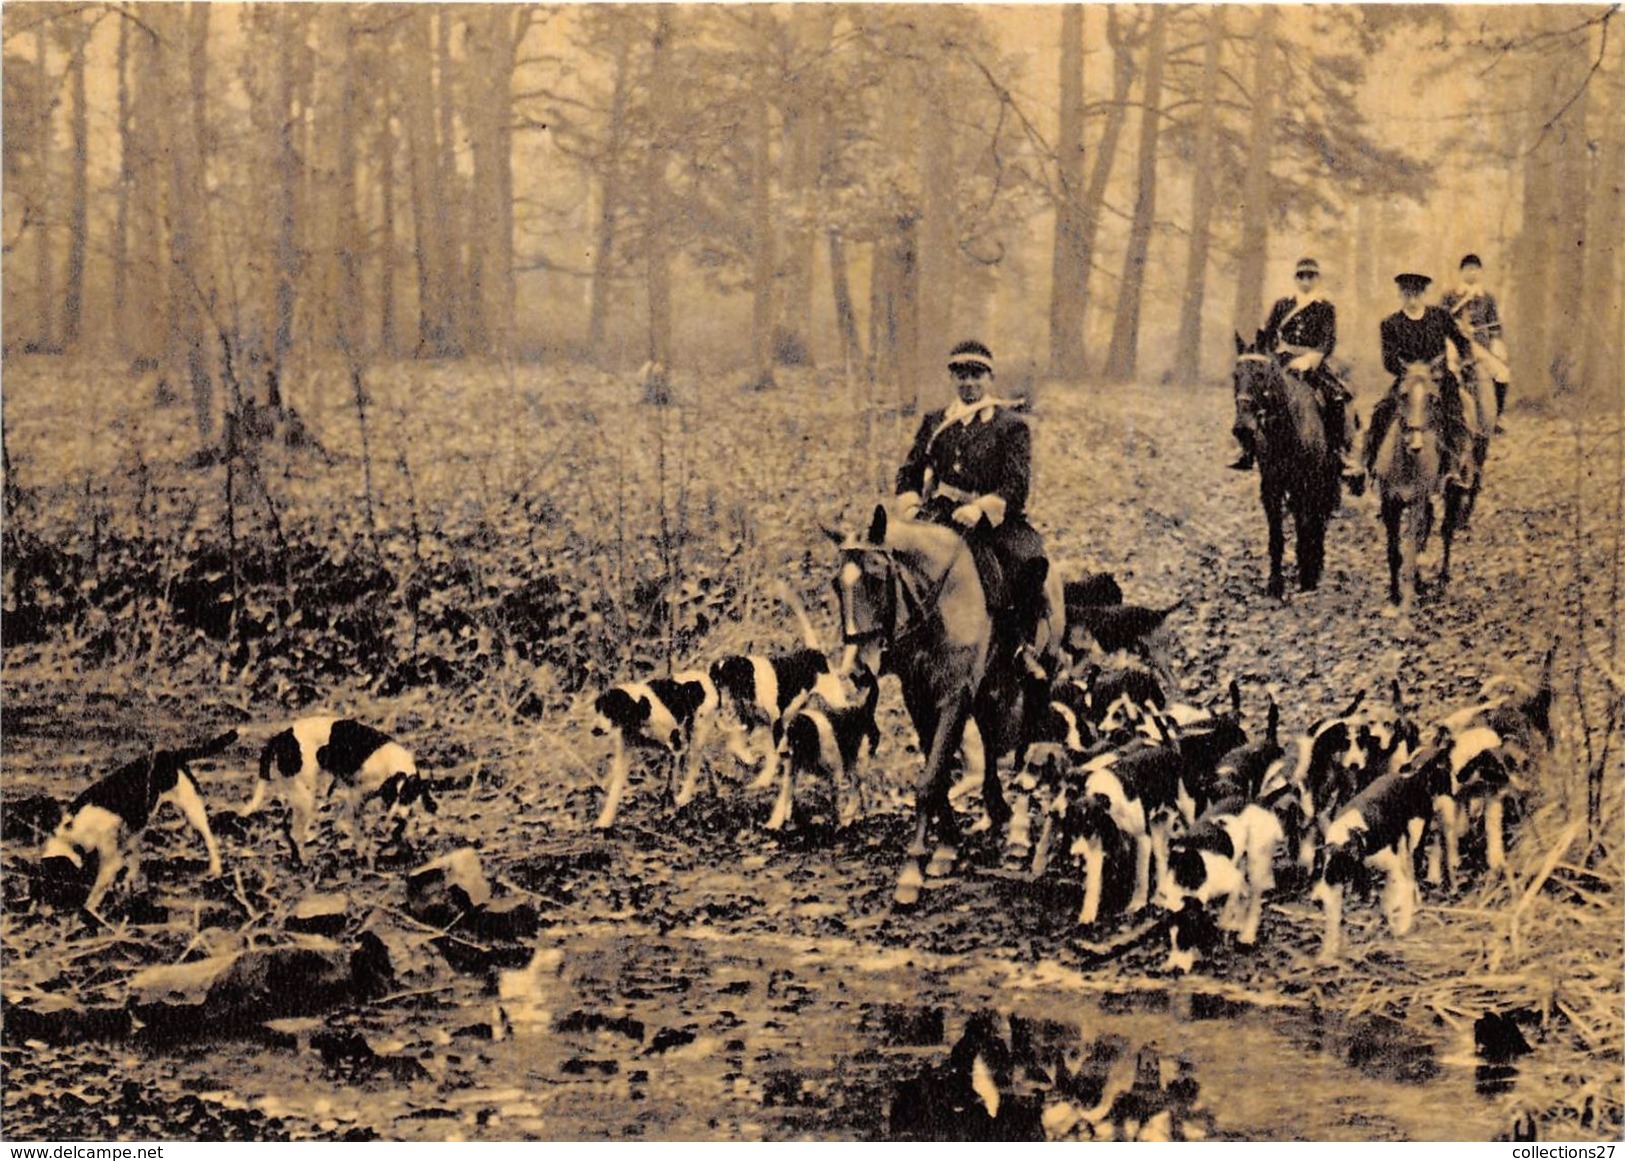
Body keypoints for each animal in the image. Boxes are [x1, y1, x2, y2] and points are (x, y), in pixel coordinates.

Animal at [825, 500, 1066, 910]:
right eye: (836, 584)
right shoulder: (920, 697)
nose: (857, 670)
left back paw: (1018, 835)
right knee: (990, 741)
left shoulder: (955, 695)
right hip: (986, 689)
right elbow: (935, 775)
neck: (938, 603)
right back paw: (996, 810)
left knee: (1026, 751)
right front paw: (948, 848)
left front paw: (911, 872)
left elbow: (930, 779)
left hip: (1033, 681)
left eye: (876, 578)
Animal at [1222, 330, 1339, 591]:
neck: (1285, 432)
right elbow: (1276, 534)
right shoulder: (1271, 486)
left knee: (1318, 520)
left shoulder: (1306, 485)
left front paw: (1307, 576)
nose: (1243, 428)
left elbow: (1306, 525)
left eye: (1261, 375)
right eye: (1235, 375)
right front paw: (1275, 582)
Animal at [1365, 359, 1469, 614]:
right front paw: (1394, 595)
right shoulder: (1390, 502)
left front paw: (1412, 588)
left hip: (1450, 491)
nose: (1415, 444)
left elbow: (1413, 544)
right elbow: (1394, 551)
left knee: (1446, 530)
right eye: (1403, 395)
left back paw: (1442, 577)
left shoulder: (1416, 501)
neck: (1406, 464)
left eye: (1433, 398)